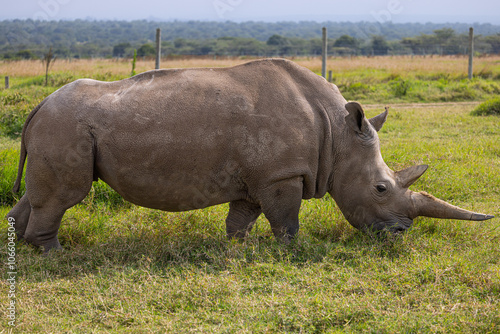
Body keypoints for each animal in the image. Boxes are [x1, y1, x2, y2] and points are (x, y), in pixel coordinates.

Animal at [5, 58, 494, 252]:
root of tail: (36, 107)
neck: (338, 134)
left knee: (39, 194)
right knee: (65, 195)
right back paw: (57, 255)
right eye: (380, 188)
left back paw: (22, 247)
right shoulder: (281, 174)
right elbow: (286, 219)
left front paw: (236, 250)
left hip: (58, 127)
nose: (399, 234)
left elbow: (242, 218)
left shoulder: (260, 175)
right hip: (65, 126)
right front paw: (291, 251)